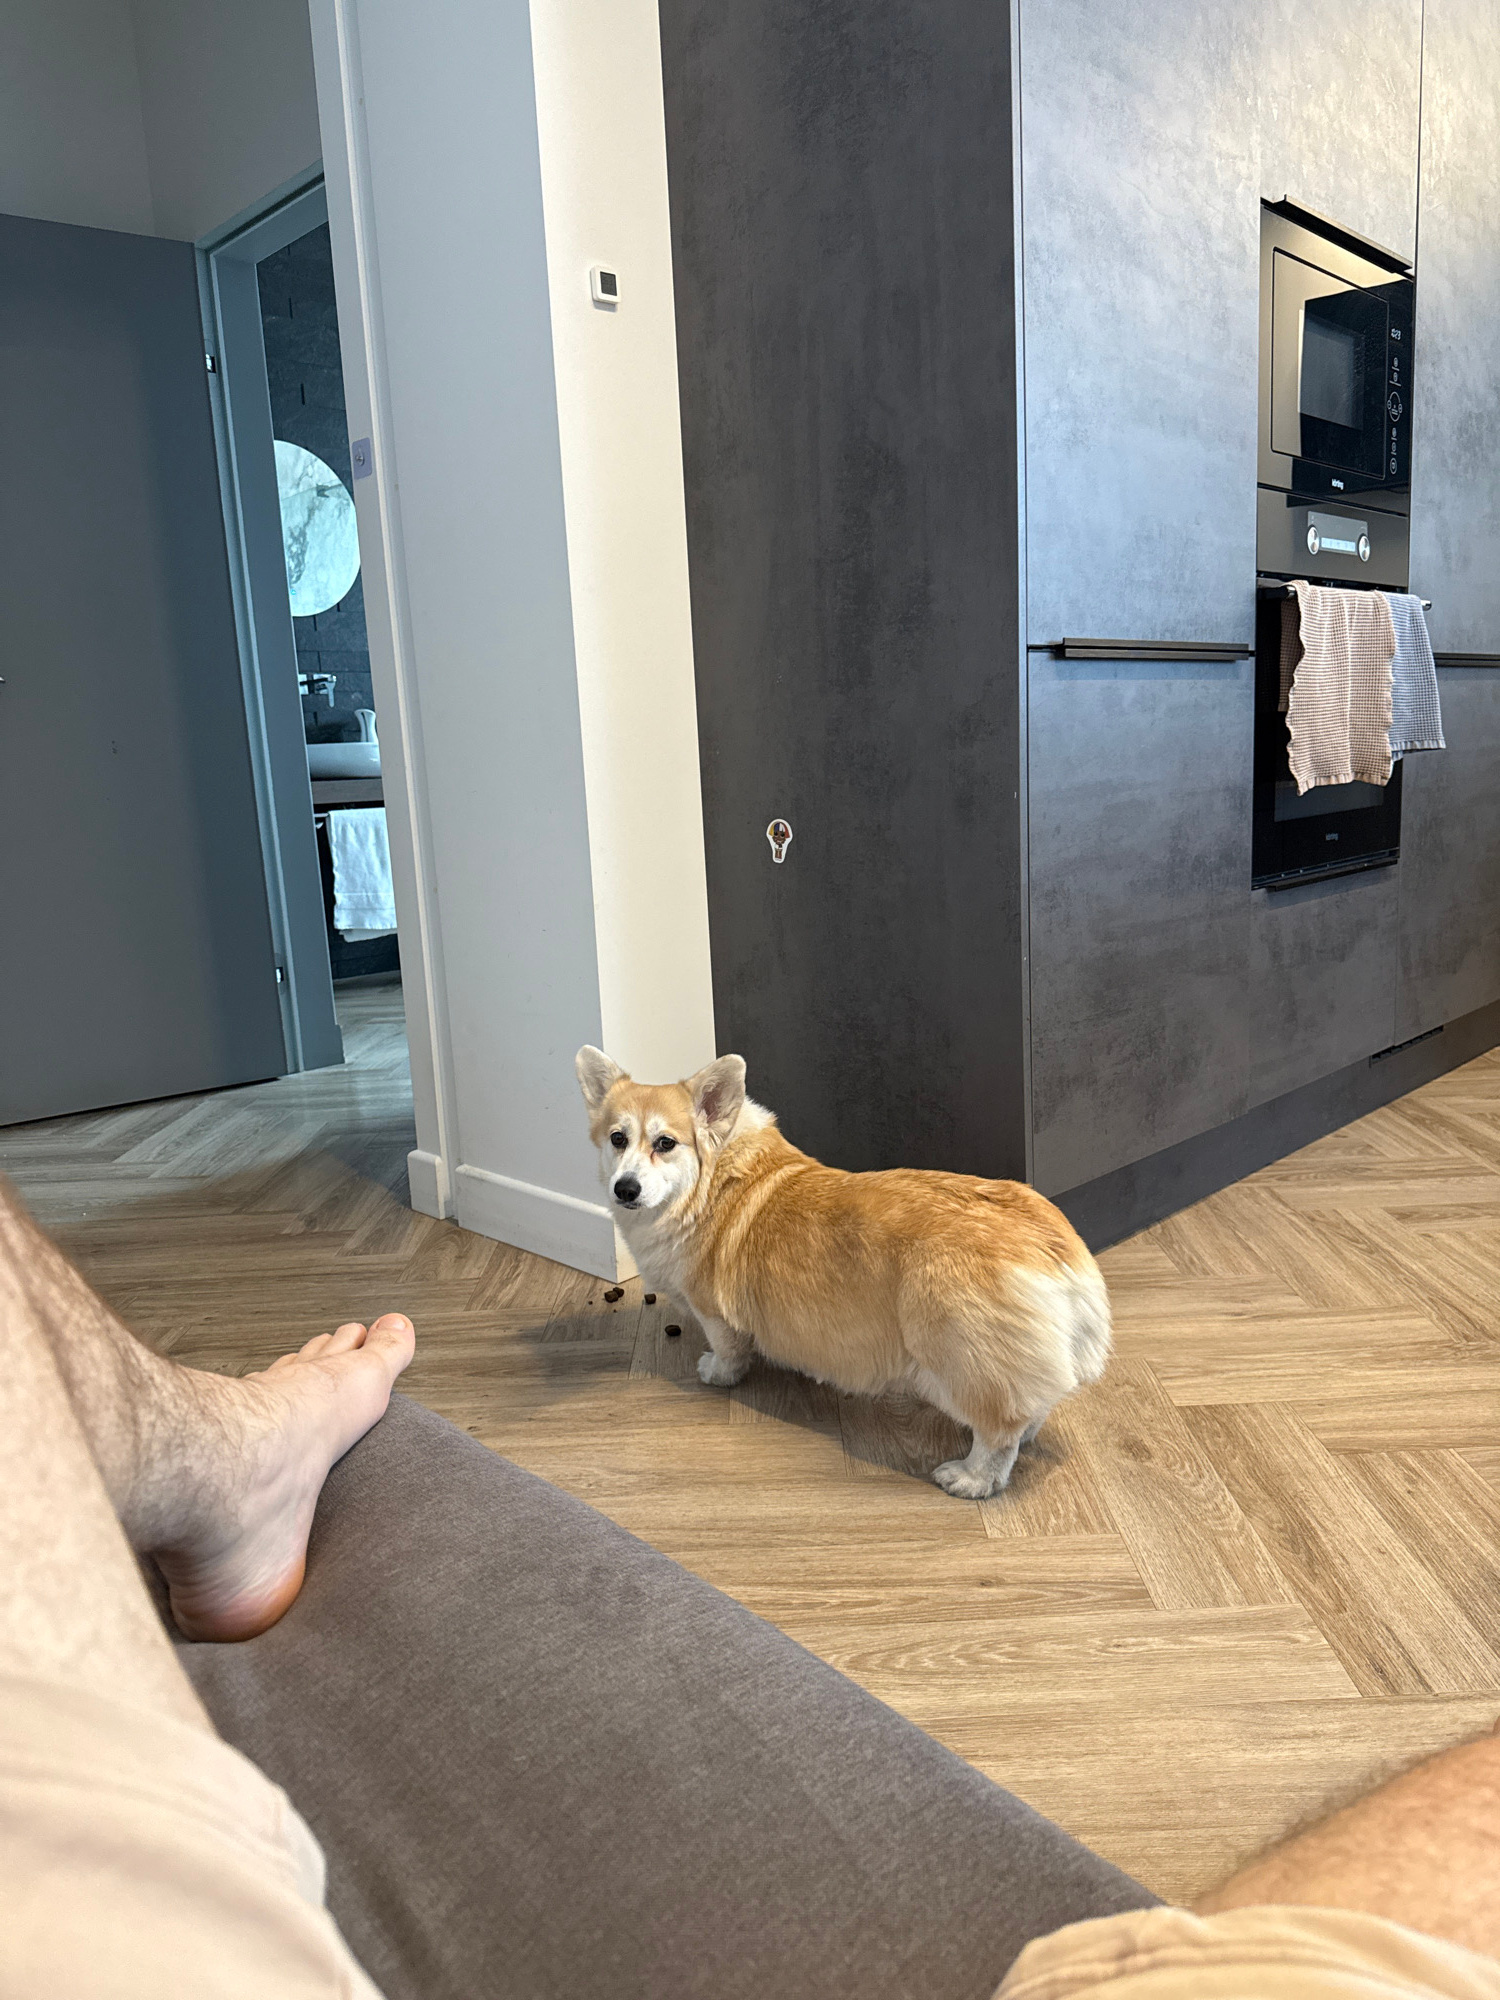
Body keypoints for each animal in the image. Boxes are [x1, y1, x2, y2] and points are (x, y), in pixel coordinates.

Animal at [575, 1046, 1110, 1498]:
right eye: (618, 1139)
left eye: (665, 1143)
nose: (625, 1189)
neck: (706, 1185)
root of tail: (1054, 1247)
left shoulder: (715, 1314)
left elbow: (728, 1351)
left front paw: (716, 1373)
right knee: (1033, 1404)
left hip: (958, 1350)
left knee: (1000, 1429)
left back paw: (970, 1478)